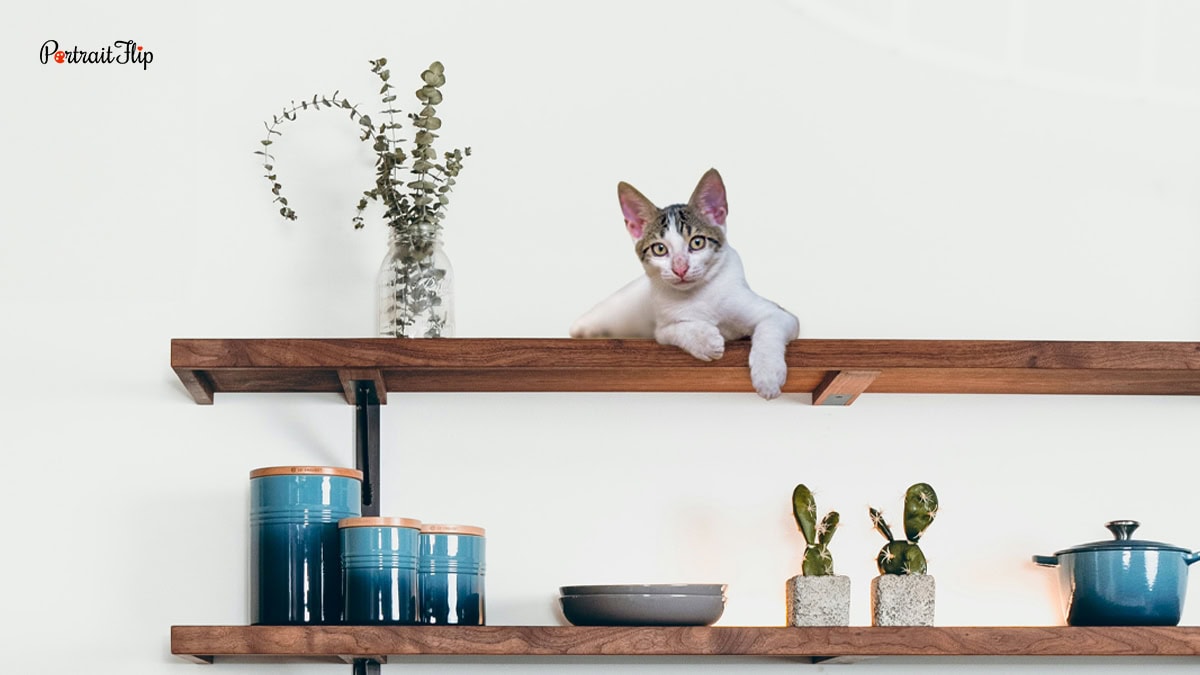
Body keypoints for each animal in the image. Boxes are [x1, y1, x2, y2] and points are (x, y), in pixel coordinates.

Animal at [568, 168, 796, 396]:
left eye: (697, 242)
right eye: (659, 249)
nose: (680, 268)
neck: (699, 294)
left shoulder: (782, 315)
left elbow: (770, 327)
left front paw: (768, 375)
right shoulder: (661, 328)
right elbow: (674, 330)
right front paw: (705, 340)